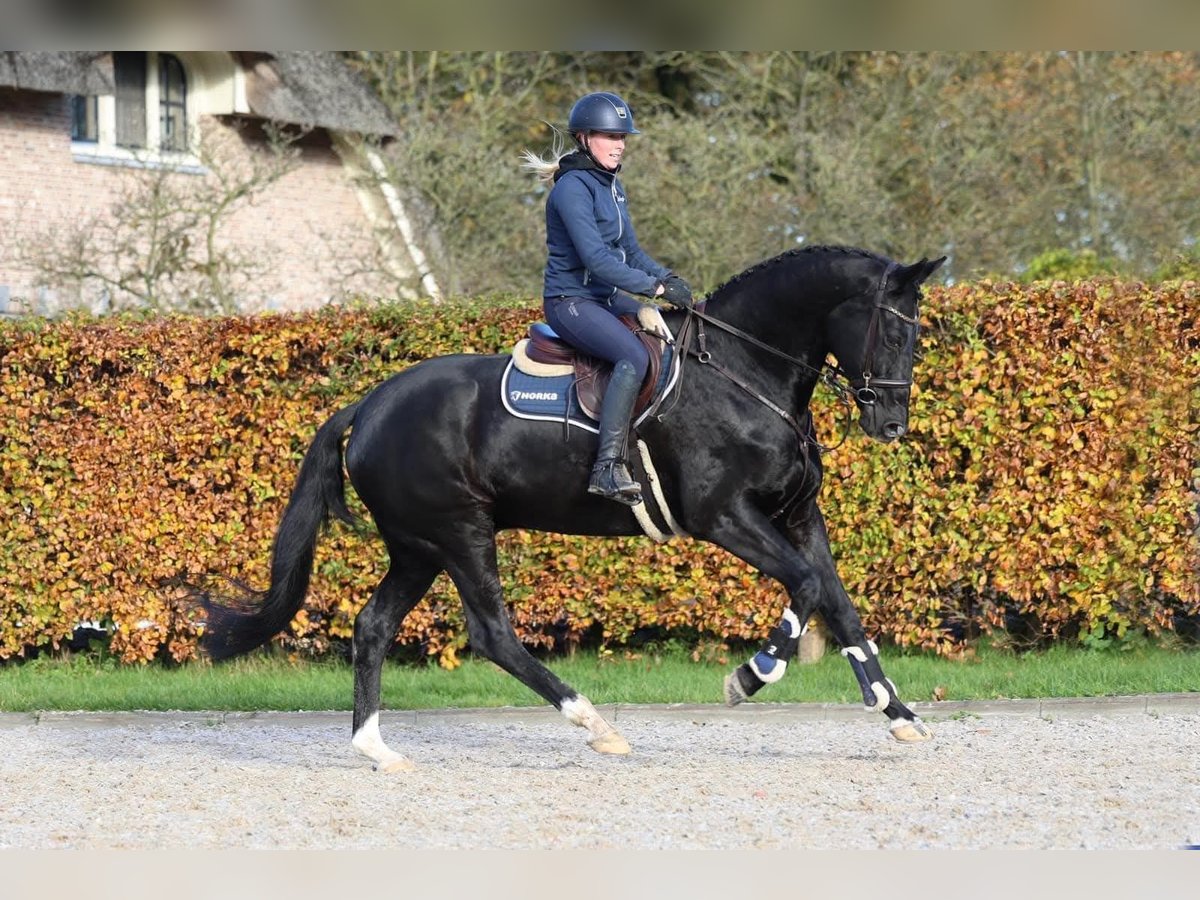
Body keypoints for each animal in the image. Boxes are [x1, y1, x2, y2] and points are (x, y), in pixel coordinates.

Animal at [200, 244, 946, 772]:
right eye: (891, 334)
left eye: (917, 338)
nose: (890, 426)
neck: (744, 371)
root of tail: (369, 404)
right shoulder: (726, 517)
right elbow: (807, 585)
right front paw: (751, 676)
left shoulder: (797, 517)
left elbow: (838, 603)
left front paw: (896, 710)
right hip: (460, 533)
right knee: (492, 634)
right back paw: (595, 723)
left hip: (418, 548)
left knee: (373, 627)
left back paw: (377, 749)